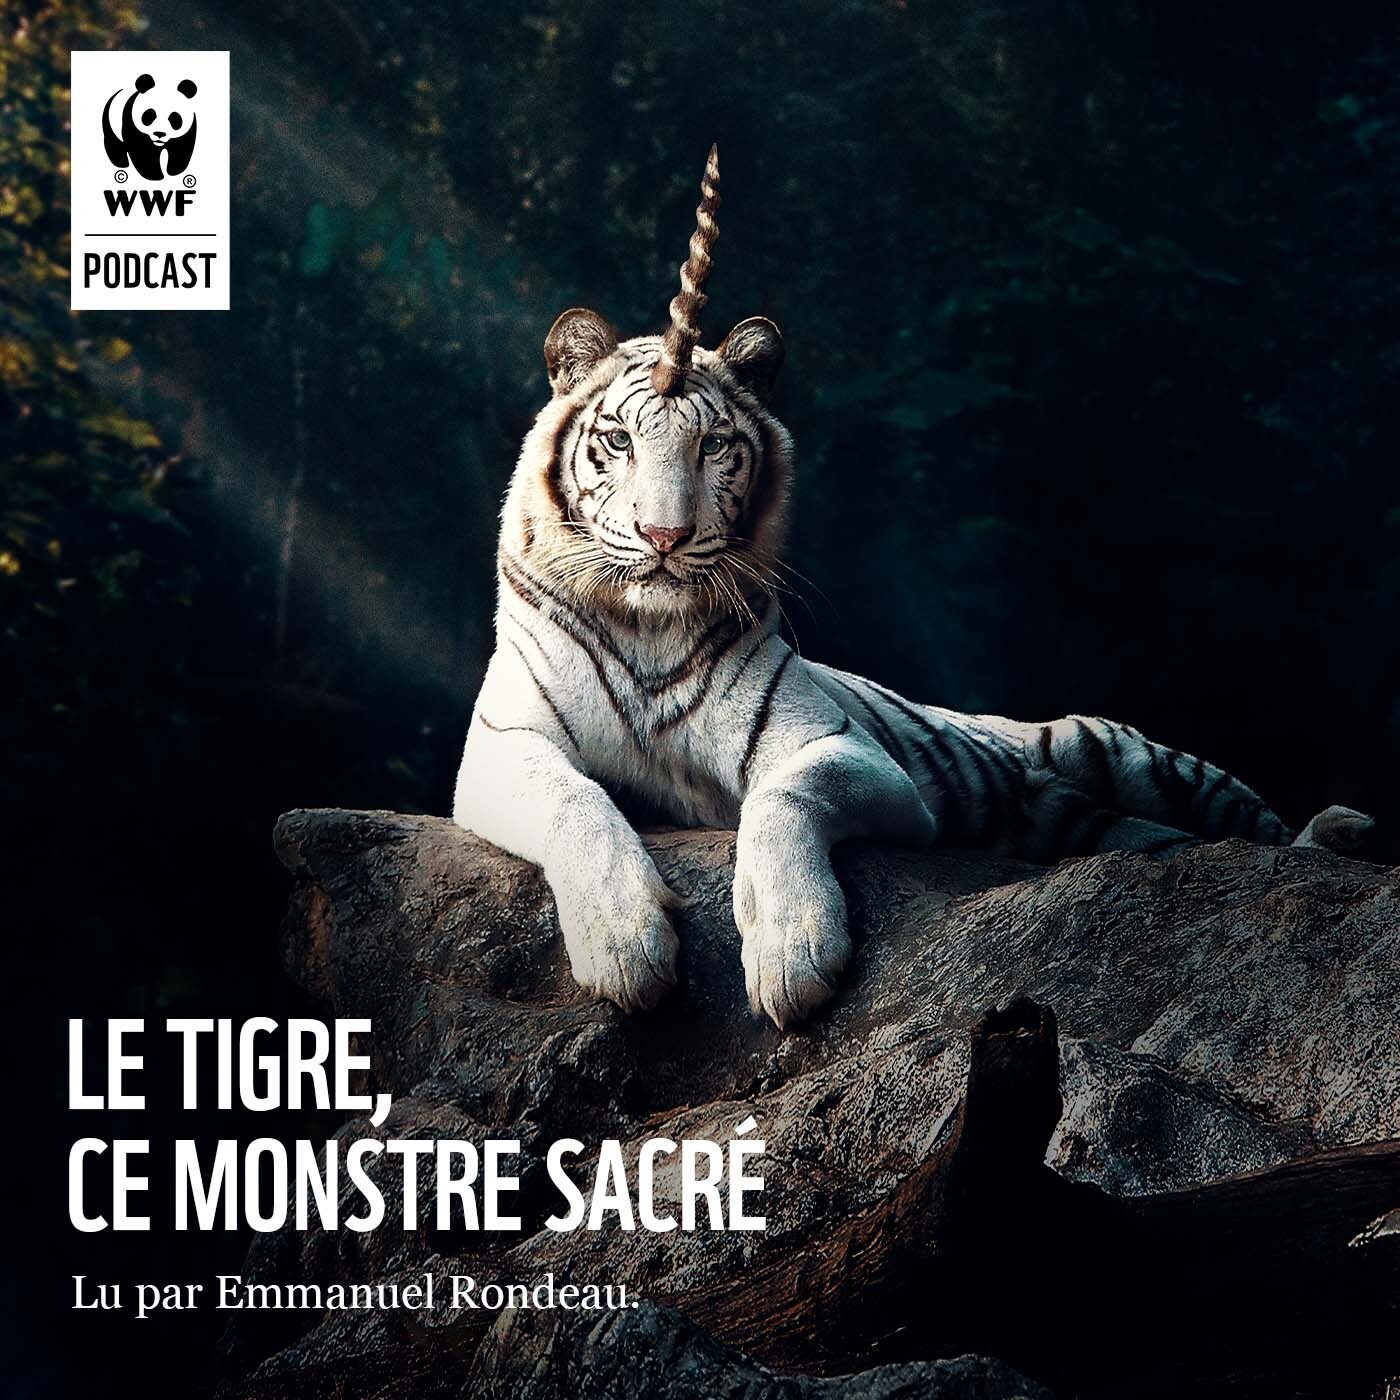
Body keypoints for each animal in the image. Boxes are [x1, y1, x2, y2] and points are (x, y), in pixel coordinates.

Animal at [453, 145, 1373, 1028]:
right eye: (617, 440)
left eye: (712, 445)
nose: (664, 537)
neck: (647, 626)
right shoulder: (502, 745)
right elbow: (575, 800)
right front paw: (625, 947)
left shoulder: (844, 749)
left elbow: (781, 800)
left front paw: (792, 956)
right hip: (1095, 818)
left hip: (1120, 751)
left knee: (1254, 831)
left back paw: (1338, 832)